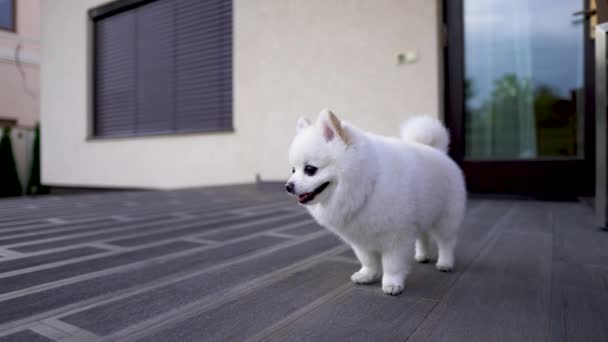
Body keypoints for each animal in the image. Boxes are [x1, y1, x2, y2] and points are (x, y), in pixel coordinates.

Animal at [284, 109, 466, 294]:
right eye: (293, 170)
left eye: (310, 169)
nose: (288, 186)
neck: (368, 184)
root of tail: (437, 150)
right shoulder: (360, 239)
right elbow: (368, 260)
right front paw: (367, 275)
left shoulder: (397, 236)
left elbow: (392, 264)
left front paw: (392, 283)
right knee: (423, 236)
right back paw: (422, 255)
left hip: (445, 218)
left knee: (446, 242)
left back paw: (445, 263)